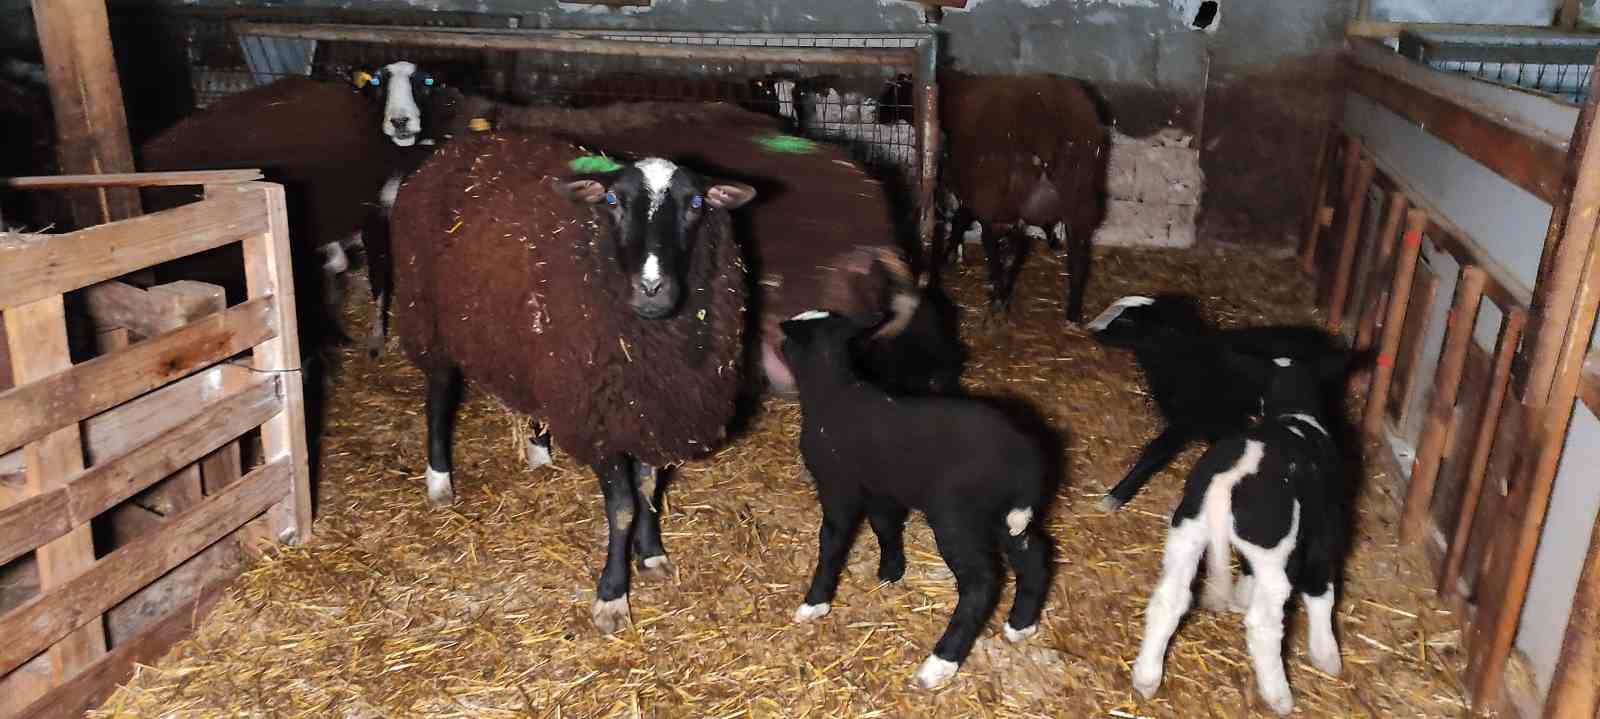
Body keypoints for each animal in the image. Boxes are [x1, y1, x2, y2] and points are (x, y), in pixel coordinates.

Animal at [390, 127, 758, 627]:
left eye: (697, 203)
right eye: (612, 200)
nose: (652, 288)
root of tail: (458, 145)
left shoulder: (649, 409)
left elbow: (649, 489)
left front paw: (651, 554)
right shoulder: (601, 417)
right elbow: (622, 508)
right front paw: (612, 594)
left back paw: (539, 454)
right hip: (428, 320)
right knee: (439, 401)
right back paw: (439, 482)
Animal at [780, 309, 1056, 688]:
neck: (834, 391)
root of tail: (1026, 462)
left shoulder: (838, 486)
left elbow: (832, 541)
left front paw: (815, 603)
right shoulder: (882, 489)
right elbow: (884, 527)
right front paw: (891, 571)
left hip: (956, 515)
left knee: (982, 581)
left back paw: (941, 662)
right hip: (1006, 516)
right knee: (1034, 555)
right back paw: (1021, 625)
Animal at [934, 70, 1113, 321]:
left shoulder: (972, 192)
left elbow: (963, 222)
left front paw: (948, 256)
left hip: (997, 195)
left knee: (991, 242)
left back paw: (999, 298)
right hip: (1080, 199)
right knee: (1078, 253)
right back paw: (1073, 312)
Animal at [1126, 349, 1350, 710]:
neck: (1293, 411)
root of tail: (1228, 479)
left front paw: (1242, 596)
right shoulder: (1325, 531)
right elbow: (1322, 593)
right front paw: (1327, 655)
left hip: (1186, 532)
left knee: (1168, 600)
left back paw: (1146, 679)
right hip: (1272, 551)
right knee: (1263, 624)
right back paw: (1279, 697)